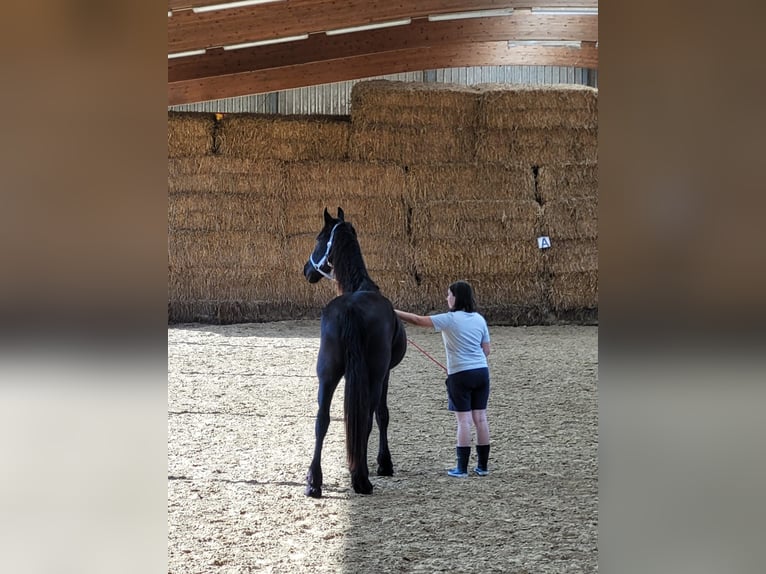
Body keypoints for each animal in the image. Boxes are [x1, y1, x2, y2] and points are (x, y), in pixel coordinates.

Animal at [302, 207, 407, 497]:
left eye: (318, 238)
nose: (306, 270)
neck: (360, 286)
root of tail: (351, 307)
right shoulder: (384, 375)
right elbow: (382, 415)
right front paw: (384, 464)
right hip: (374, 374)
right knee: (367, 417)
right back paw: (361, 478)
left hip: (327, 374)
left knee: (322, 419)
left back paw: (314, 482)